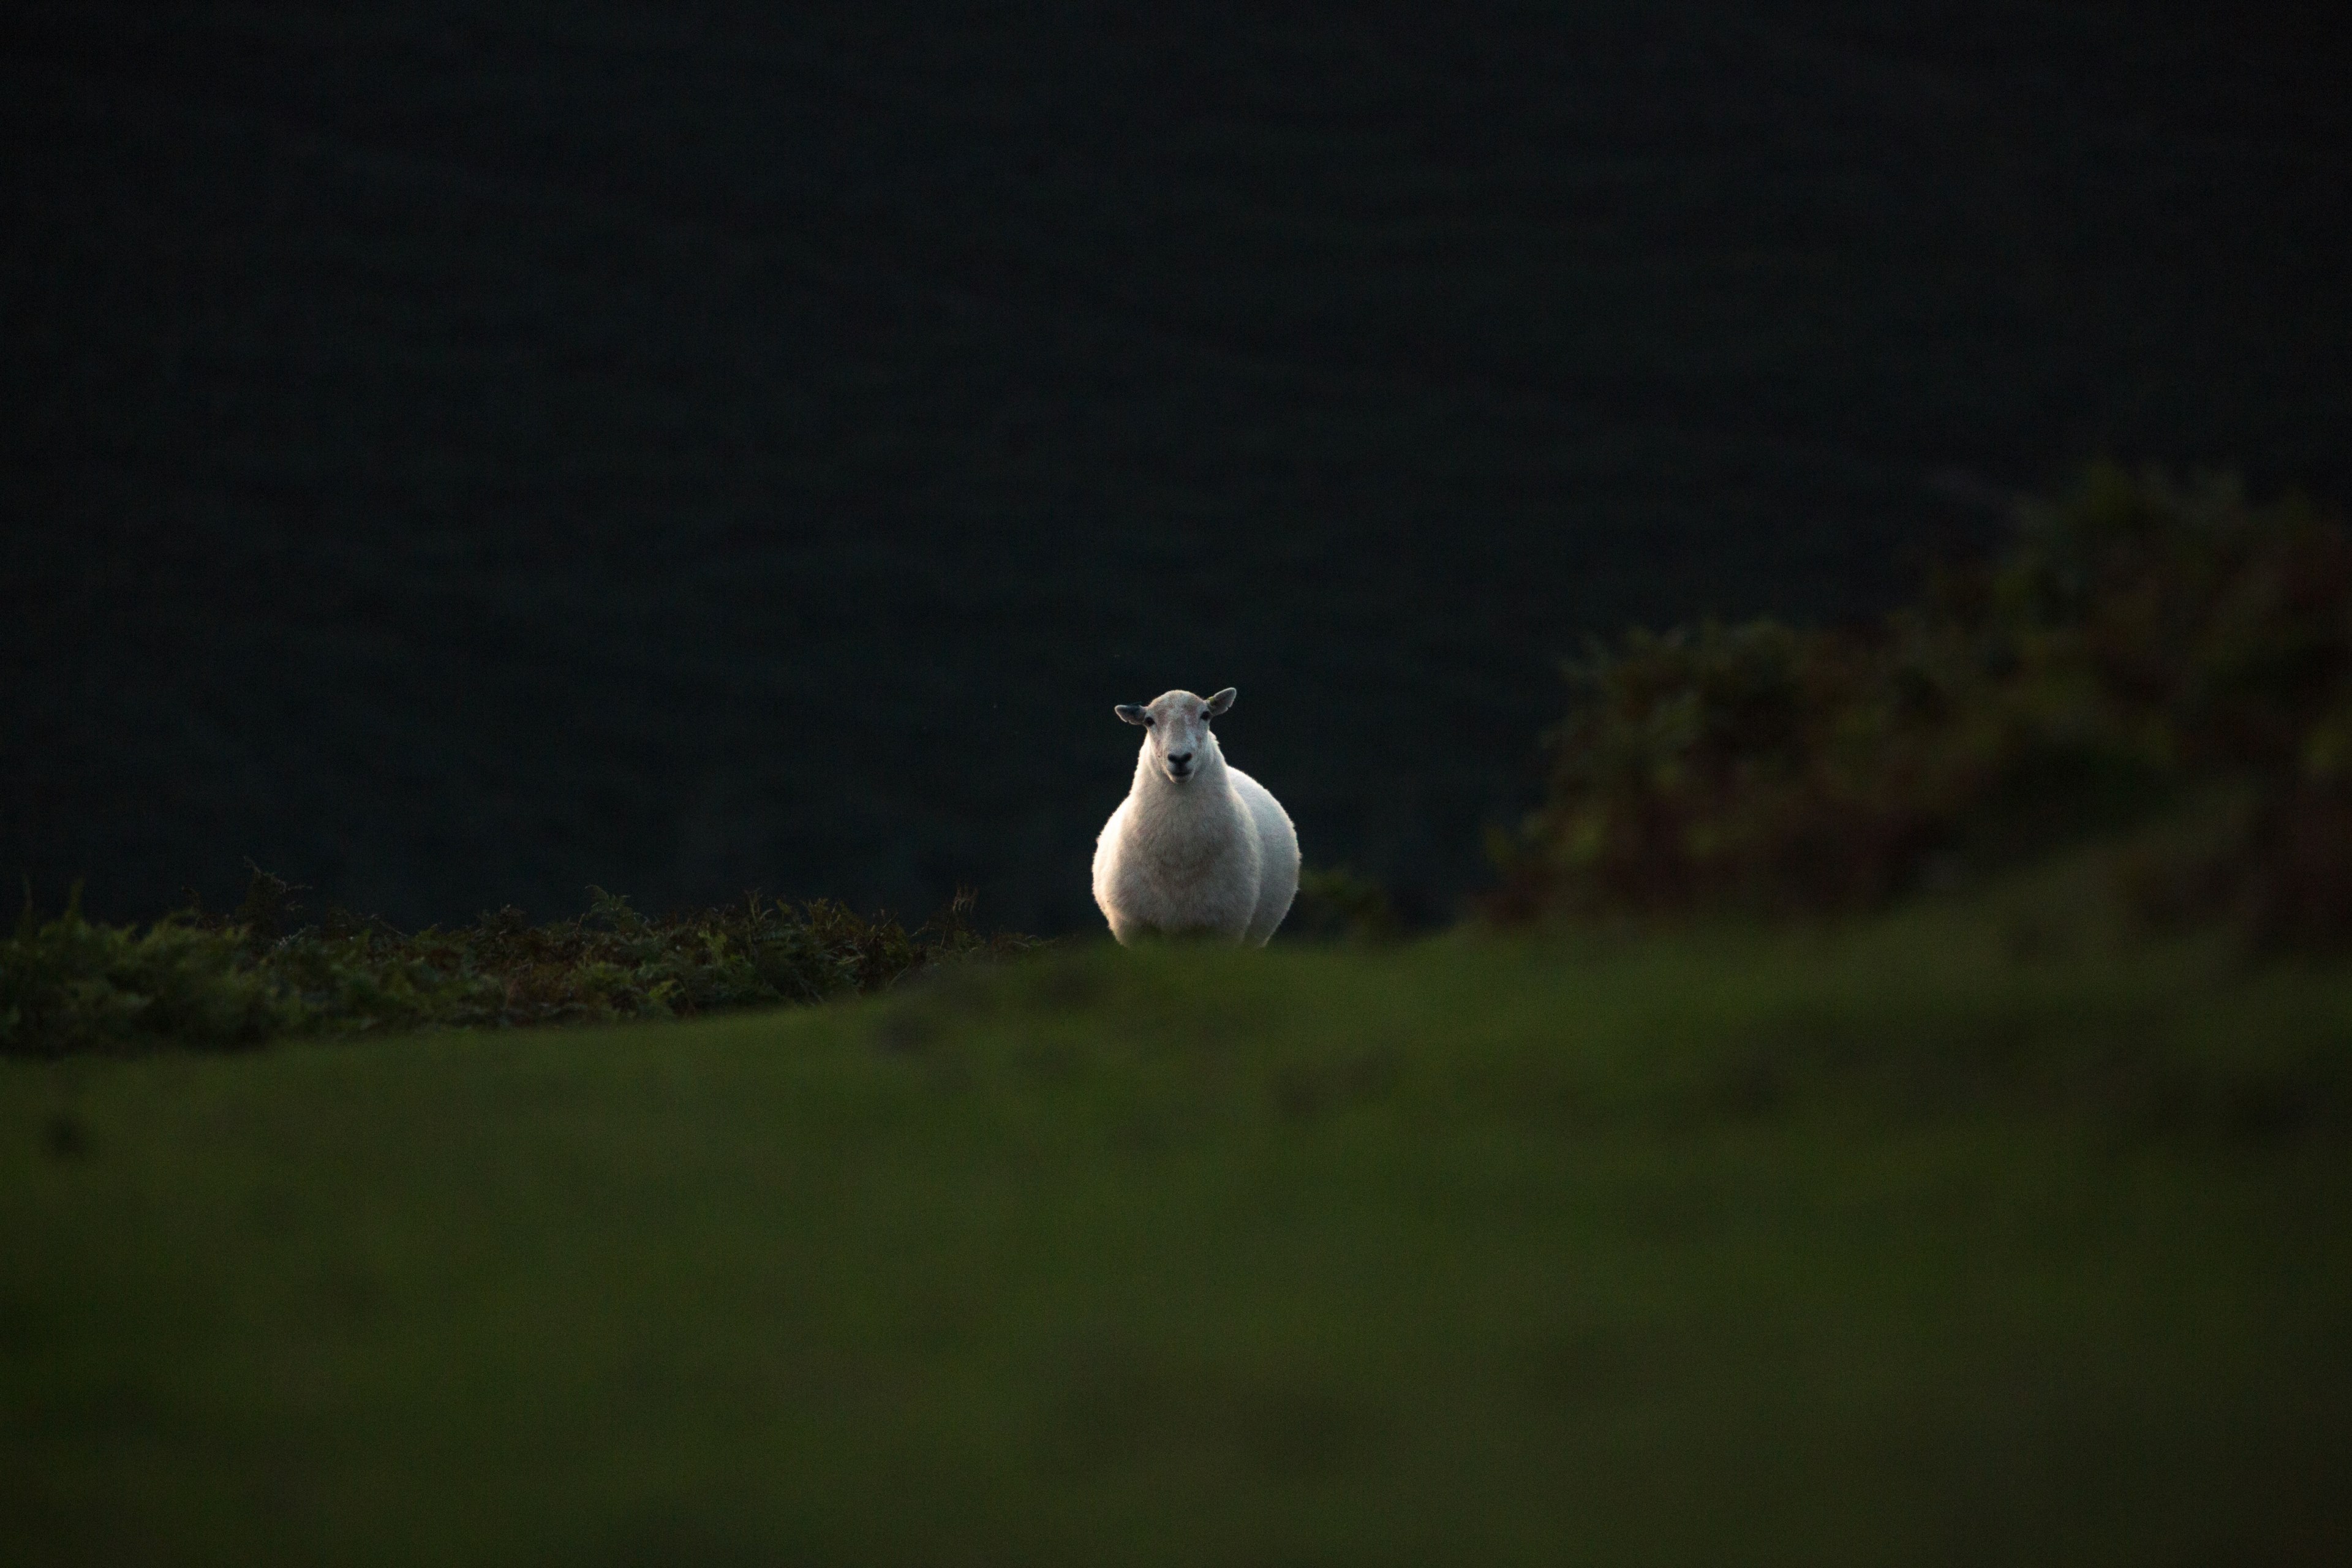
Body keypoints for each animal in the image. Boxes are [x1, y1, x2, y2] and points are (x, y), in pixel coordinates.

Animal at [1092, 687, 1300, 946]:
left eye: (1206, 715)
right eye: (1149, 721)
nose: (1180, 758)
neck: (1180, 854)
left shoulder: (1222, 929)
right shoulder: (1137, 928)